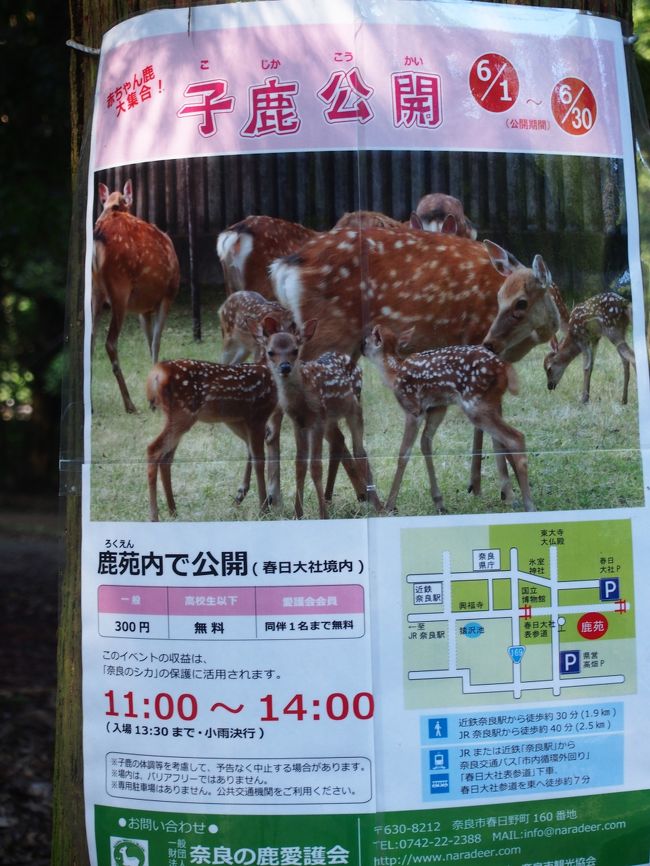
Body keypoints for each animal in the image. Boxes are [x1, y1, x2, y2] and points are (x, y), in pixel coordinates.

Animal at [92, 179, 180, 413]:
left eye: (115, 204)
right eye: (105, 204)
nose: (99, 217)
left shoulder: (143, 308)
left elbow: (149, 341)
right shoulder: (167, 295)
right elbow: (157, 341)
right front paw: (154, 400)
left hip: (95, 292)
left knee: (91, 339)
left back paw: (92, 405)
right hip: (119, 287)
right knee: (110, 342)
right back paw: (129, 404)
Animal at [146, 359, 278, 521]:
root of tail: (157, 372)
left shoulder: (240, 419)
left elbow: (252, 453)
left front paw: (245, 497)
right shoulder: (258, 415)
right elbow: (259, 461)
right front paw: (264, 510)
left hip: (179, 417)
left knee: (166, 458)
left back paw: (173, 511)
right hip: (182, 414)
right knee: (153, 449)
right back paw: (155, 516)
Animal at [259, 316, 382, 520]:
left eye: (295, 350)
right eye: (270, 352)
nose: (285, 367)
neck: (301, 400)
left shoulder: (316, 419)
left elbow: (315, 466)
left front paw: (322, 515)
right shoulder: (298, 423)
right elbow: (299, 465)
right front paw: (298, 513)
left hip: (354, 408)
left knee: (360, 450)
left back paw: (378, 504)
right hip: (330, 419)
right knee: (339, 441)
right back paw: (338, 496)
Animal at [363, 324, 535, 513]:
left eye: (366, 340)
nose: (360, 349)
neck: (394, 373)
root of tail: (504, 367)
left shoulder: (413, 409)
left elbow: (404, 454)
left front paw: (390, 506)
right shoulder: (438, 408)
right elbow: (425, 443)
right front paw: (439, 502)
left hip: (475, 404)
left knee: (515, 437)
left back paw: (529, 504)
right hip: (492, 402)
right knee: (502, 440)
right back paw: (513, 497)